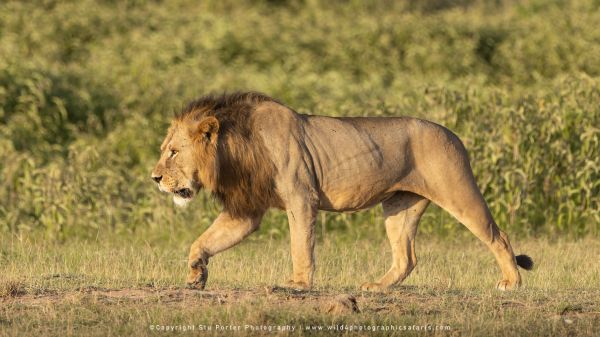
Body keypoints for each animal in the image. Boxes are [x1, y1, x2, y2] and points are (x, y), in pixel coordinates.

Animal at [151, 92, 536, 292]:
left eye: (173, 152)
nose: (154, 178)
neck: (235, 149)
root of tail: (454, 134)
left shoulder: (302, 198)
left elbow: (301, 245)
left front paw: (299, 283)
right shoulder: (246, 210)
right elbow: (204, 240)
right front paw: (196, 273)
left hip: (457, 190)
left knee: (497, 235)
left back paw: (511, 282)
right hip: (400, 206)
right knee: (407, 258)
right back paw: (377, 287)